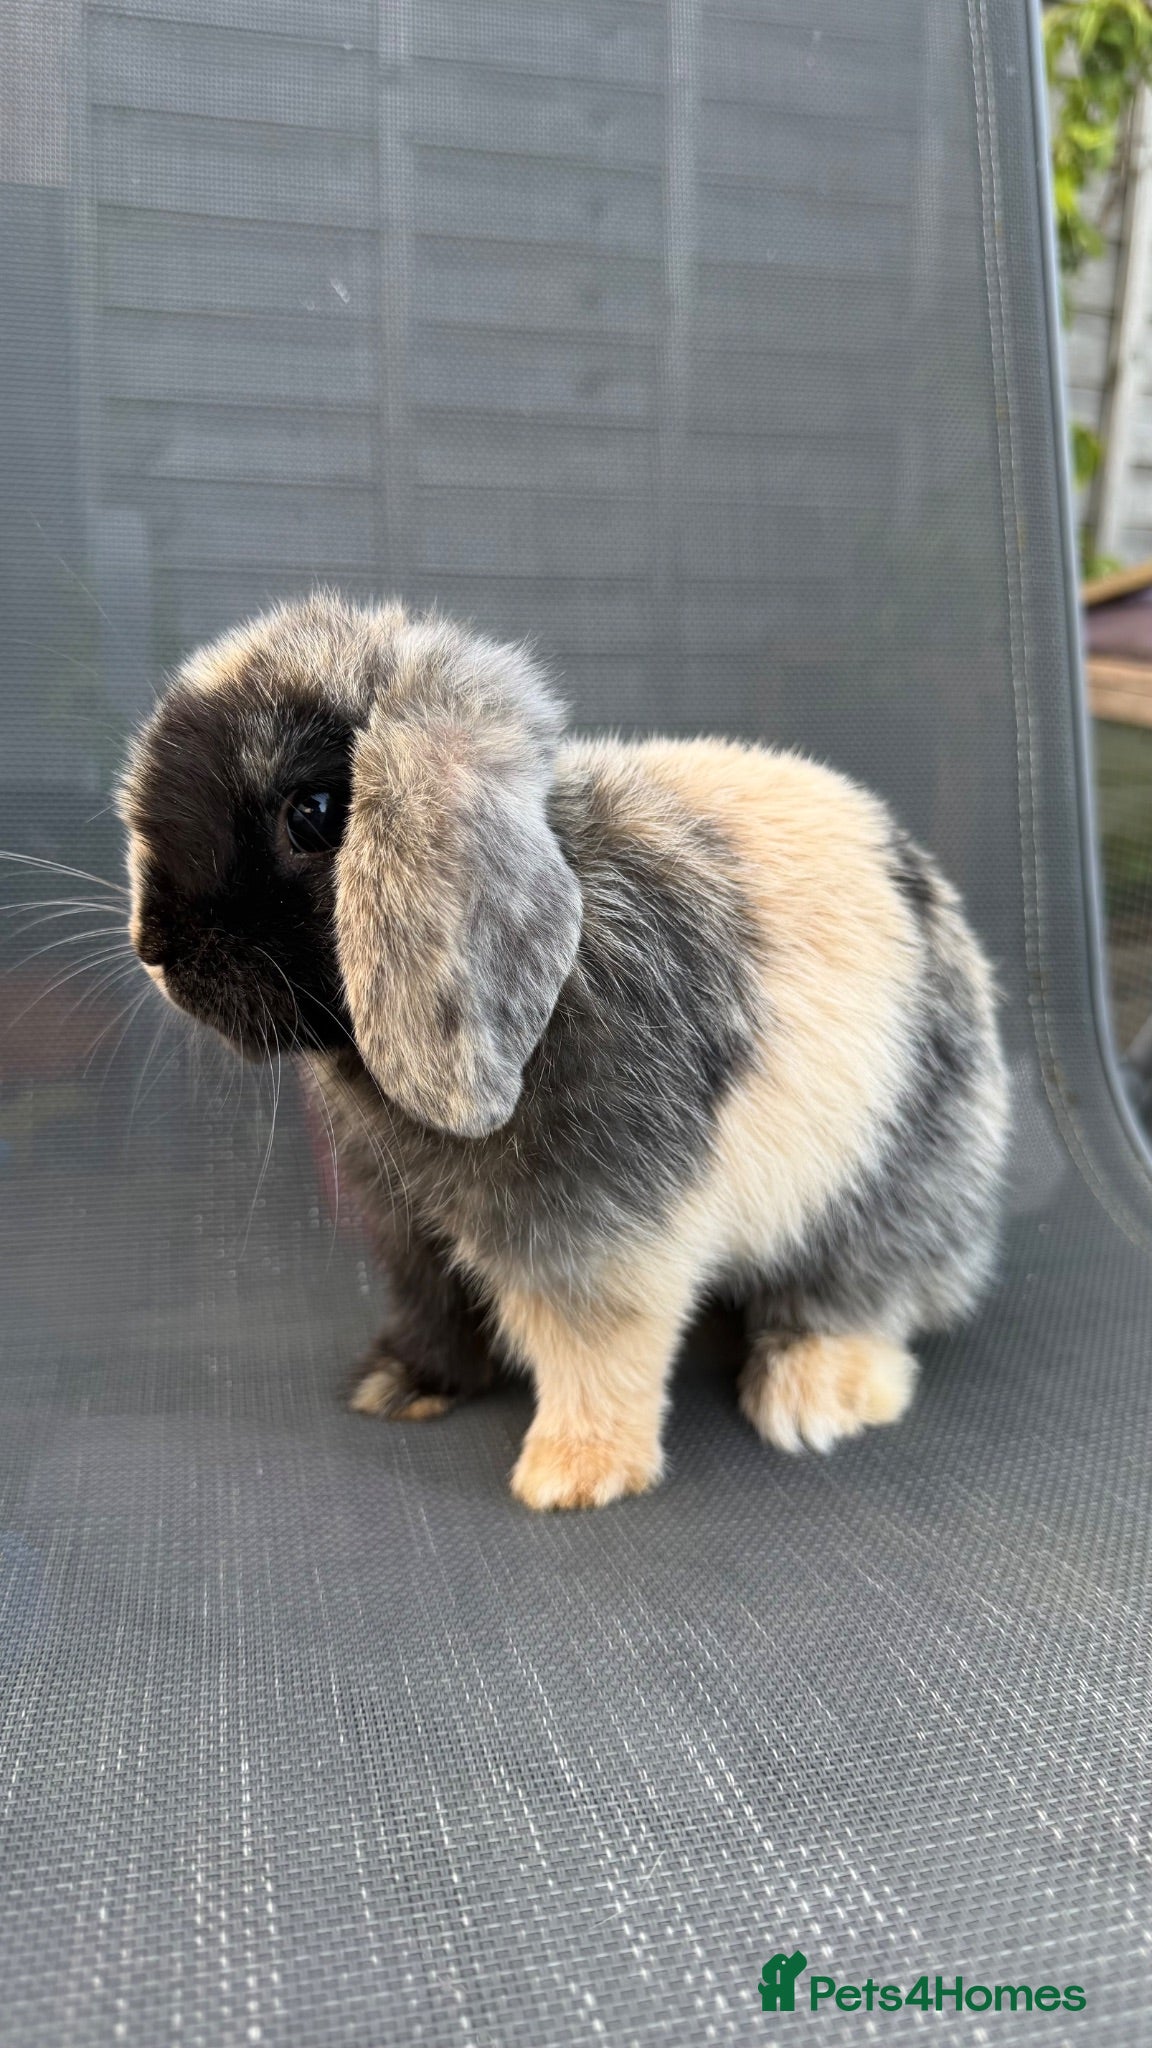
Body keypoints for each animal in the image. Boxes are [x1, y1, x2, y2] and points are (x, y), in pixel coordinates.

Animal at [120, 591, 1009, 1510]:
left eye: (316, 814)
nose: (155, 949)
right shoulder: (409, 1228)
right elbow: (432, 1307)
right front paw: (402, 1386)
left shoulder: (595, 1235)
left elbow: (598, 1347)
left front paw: (573, 1472)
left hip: (879, 1182)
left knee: (868, 1292)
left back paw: (813, 1392)